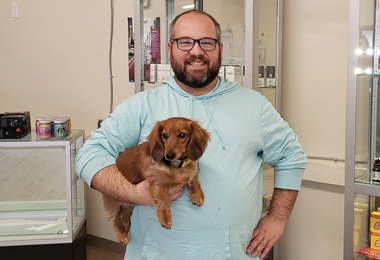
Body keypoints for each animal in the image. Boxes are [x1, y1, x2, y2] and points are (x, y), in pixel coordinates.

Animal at [101, 117, 211, 245]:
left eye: (182, 135)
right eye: (164, 135)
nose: (169, 155)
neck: (175, 166)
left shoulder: (191, 171)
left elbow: (194, 180)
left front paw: (197, 195)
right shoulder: (157, 182)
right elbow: (164, 200)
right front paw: (166, 218)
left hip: (130, 202)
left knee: (126, 213)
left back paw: (127, 225)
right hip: (112, 204)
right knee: (115, 221)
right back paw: (122, 235)